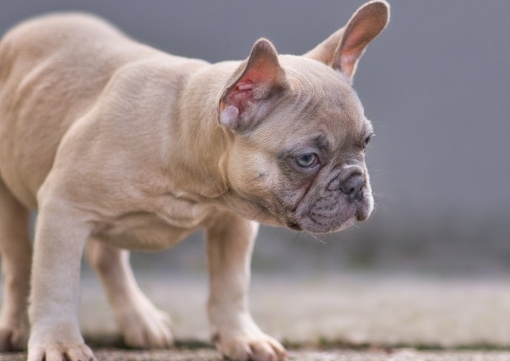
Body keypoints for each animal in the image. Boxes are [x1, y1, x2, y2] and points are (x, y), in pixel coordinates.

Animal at [0, 1, 388, 358]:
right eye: (307, 159)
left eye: (367, 142)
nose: (355, 183)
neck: (182, 134)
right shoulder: (64, 209)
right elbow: (56, 283)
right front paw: (59, 343)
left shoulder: (234, 225)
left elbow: (231, 284)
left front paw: (241, 338)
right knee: (20, 261)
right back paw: (15, 327)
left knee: (105, 255)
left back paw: (140, 319)